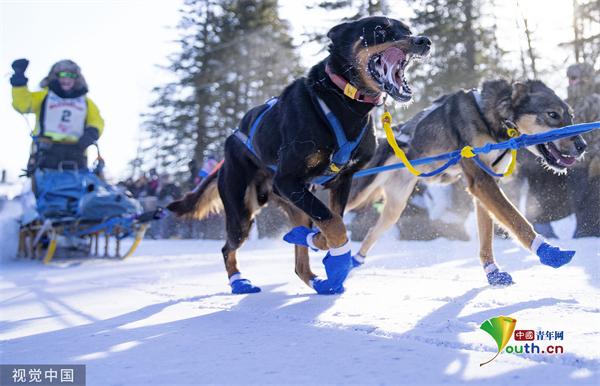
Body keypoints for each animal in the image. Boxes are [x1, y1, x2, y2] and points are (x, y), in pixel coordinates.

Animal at [168, 17, 432, 296]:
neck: (341, 99)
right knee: (228, 247)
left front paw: (318, 241)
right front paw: (327, 244)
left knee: (299, 261)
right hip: (243, 212)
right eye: (381, 29)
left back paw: (316, 276)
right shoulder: (287, 180)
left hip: (296, 202)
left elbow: (334, 220)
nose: (423, 41)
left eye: (407, 30)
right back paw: (239, 281)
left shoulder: (342, 181)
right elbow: (335, 224)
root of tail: (229, 147)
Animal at [346, 78, 584, 284]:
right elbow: (516, 219)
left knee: (371, 231)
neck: (490, 118)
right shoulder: (481, 181)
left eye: (571, 116)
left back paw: (352, 262)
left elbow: (487, 234)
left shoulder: (485, 186)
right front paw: (548, 251)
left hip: (395, 208)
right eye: (553, 114)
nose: (583, 145)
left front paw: (493, 273)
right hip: (360, 193)